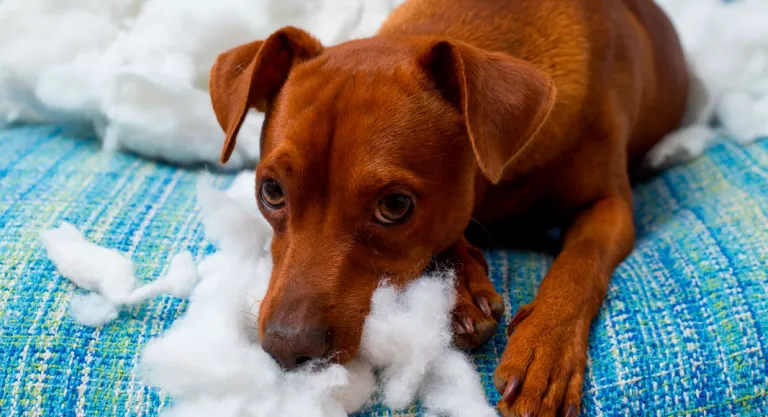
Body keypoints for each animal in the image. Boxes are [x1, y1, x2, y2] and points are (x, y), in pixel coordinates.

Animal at [207, 0, 688, 416]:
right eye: (271, 192)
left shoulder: (611, 207)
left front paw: (545, 350)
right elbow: (451, 234)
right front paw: (463, 292)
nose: (288, 349)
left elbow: (580, 262)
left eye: (395, 206)